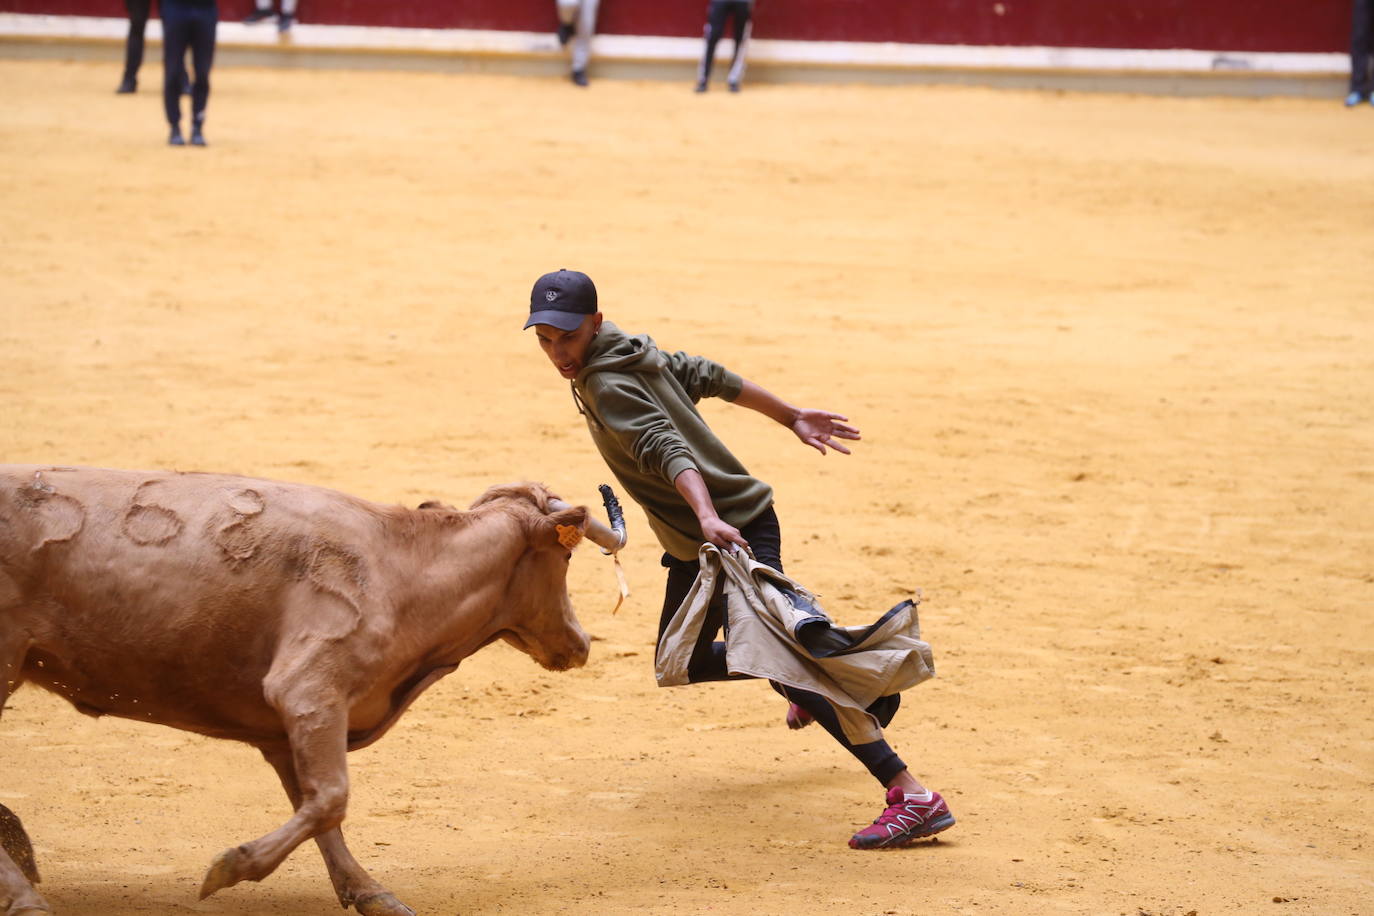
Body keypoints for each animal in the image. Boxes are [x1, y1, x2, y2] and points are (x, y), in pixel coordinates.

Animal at [0, 466, 623, 916]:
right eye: (567, 555)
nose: (581, 642)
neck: (404, 568)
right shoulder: (311, 692)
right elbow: (330, 799)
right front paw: (231, 867)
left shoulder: (288, 726)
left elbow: (316, 806)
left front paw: (370, 892)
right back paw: (27, 899)